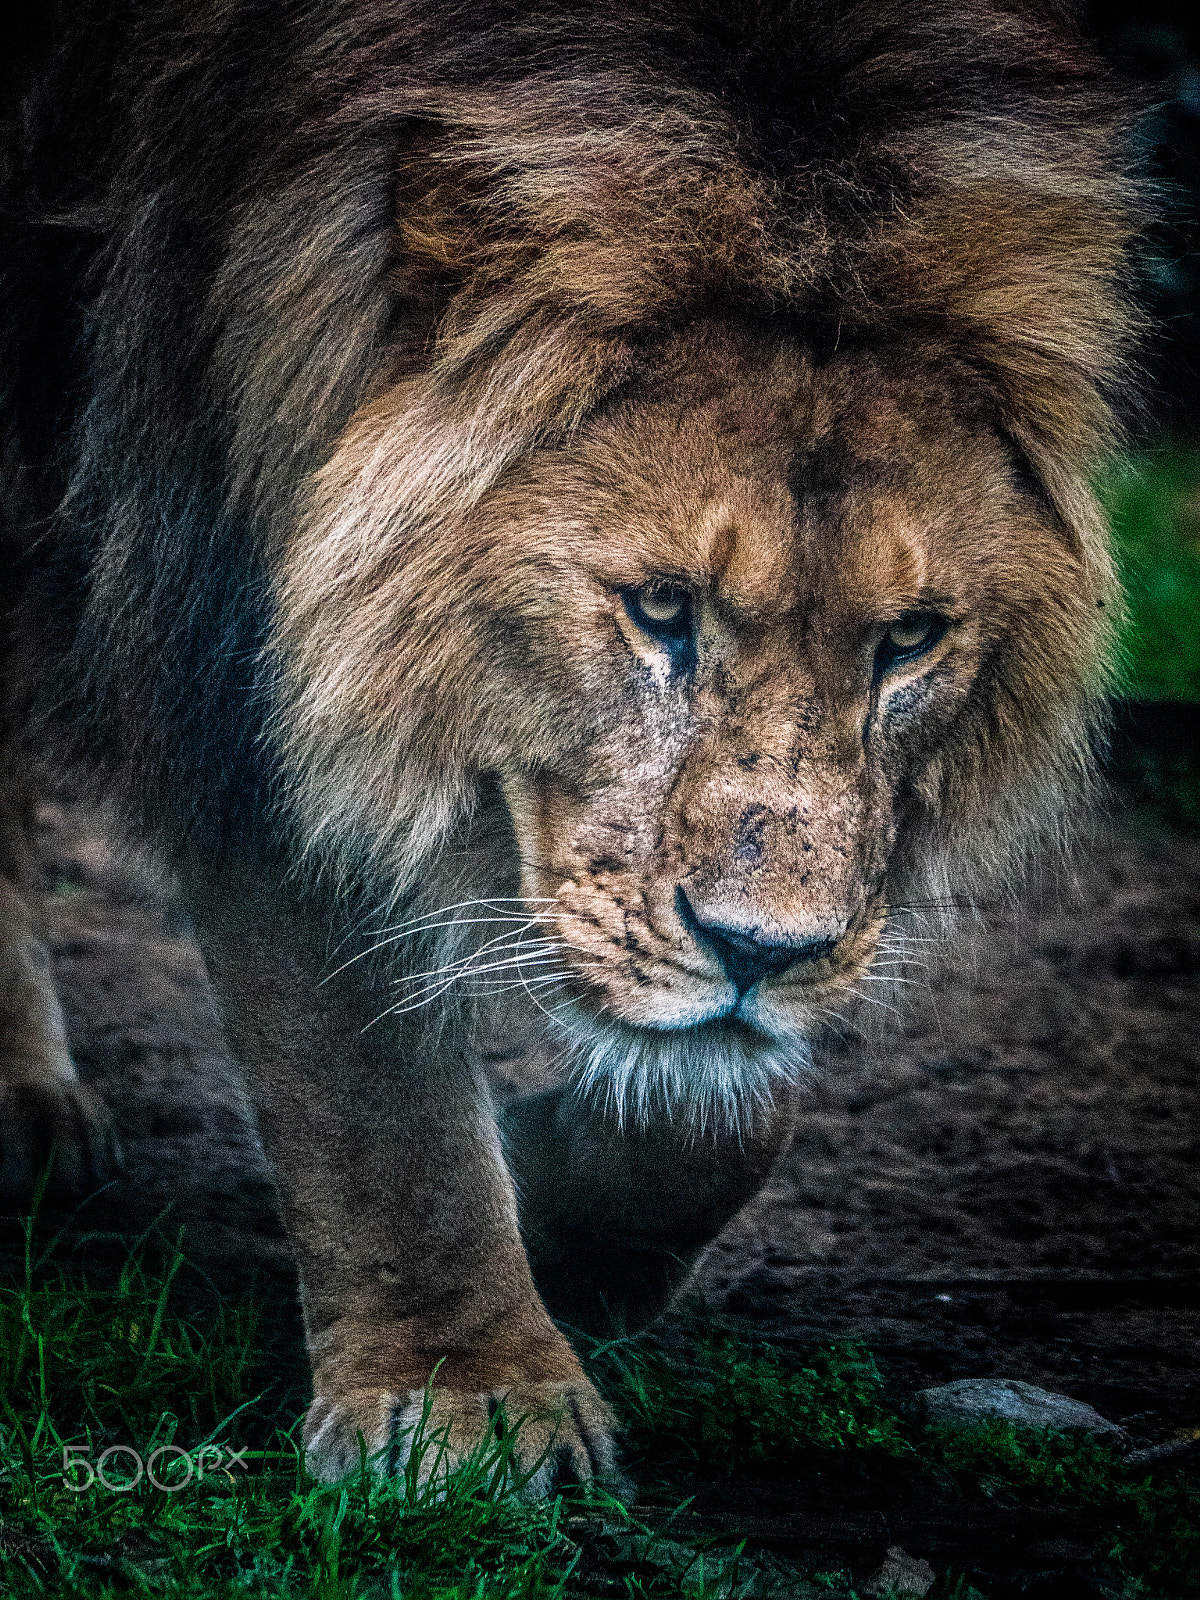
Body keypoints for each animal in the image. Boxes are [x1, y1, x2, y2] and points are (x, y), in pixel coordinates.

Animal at [1, 1, 1142, 1493]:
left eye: (907, 639)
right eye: (660, 609)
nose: (760, 952)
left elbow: (725, 1093)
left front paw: (568, 1217)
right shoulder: (233, 639)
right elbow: (375, 1086)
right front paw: (467, 1401)